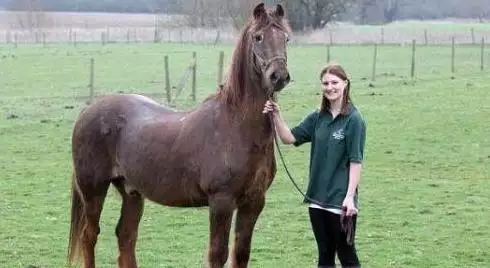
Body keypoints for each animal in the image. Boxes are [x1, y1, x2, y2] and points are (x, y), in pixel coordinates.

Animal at [66, 2, 290, 268]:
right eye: (258, 37)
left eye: (286, 37)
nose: (279, 76)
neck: (236, 127)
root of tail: (88, 110)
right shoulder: (221, 202)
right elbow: (218, 254)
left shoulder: (253, 202)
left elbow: (241, 254)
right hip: (93, 190)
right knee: (89, 235)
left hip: (132, 192)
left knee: (126, 237)